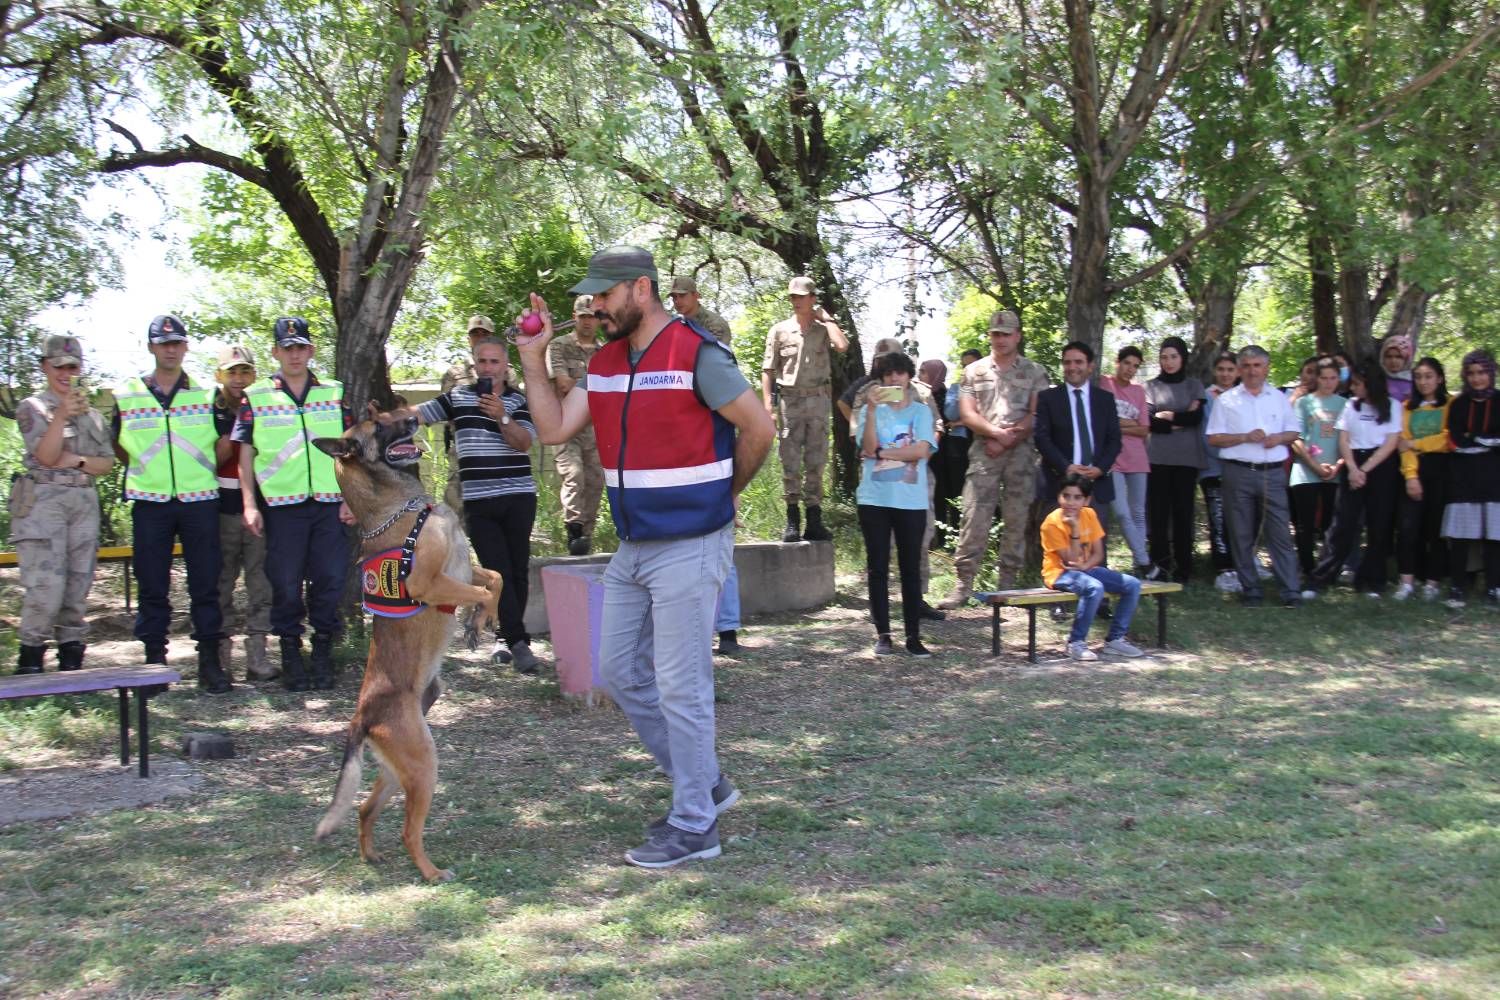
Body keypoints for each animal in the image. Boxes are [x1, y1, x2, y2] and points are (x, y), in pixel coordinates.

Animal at [307, 413, 501, 881]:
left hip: (399, 772)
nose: (415, 418)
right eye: (378, 426)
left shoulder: (463, 568)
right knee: (408, 832)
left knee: (364, 809)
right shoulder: (430, 583)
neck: (400, 508)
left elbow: (496, 578)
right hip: (423, 766)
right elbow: (484, 592)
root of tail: (361, 718)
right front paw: (479, 619)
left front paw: (481, 621)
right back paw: (431, 873)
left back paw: (370, 856)